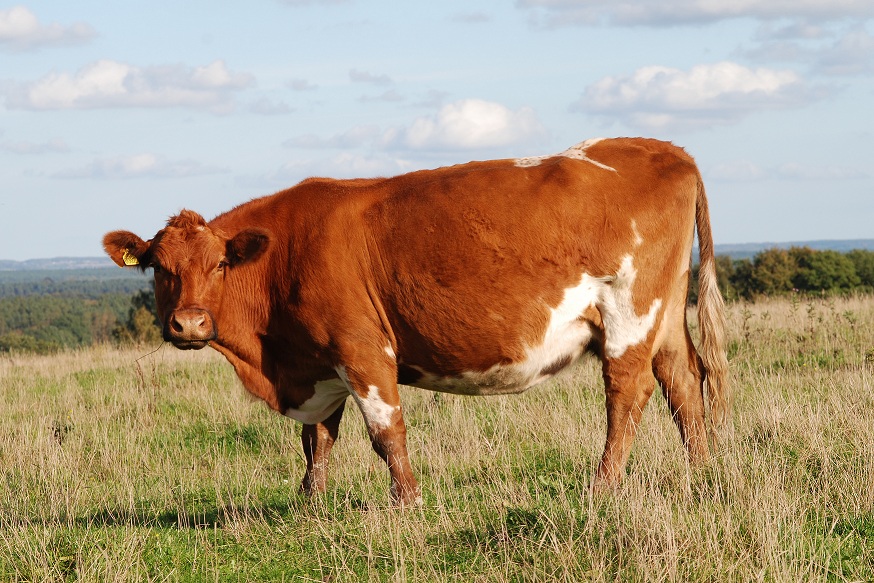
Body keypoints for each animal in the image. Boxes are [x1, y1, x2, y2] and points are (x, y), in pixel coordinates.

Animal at [102, 137, 728, 506]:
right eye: (159, 268)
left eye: (219, 264)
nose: (188, 324)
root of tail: (665, 148)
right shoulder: (320, 364)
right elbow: (317, 438)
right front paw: (311, 504)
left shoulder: (361, 346)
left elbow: (385, 432)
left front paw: (407, 503)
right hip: (664, 315)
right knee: (682, 383)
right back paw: (701, 473)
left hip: (629, 309)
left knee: (628, 393)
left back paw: (602, 487)